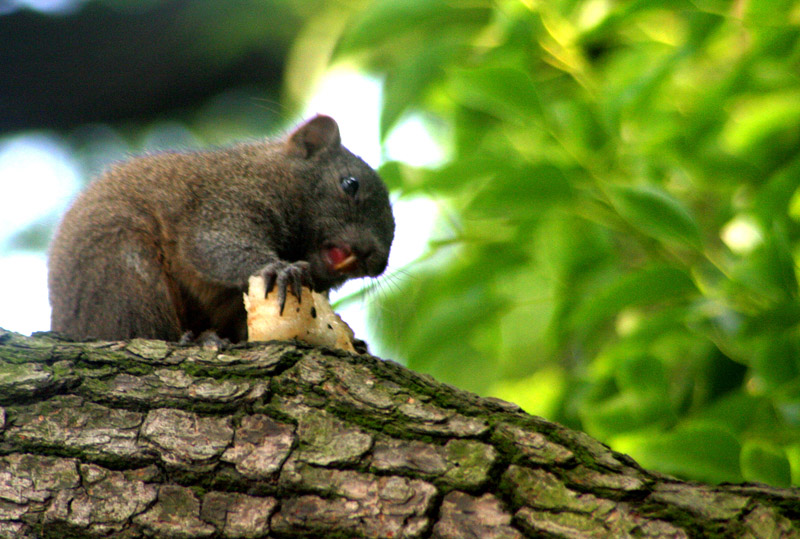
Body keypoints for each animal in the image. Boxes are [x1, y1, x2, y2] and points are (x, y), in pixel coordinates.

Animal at [47, 116, 394, 344]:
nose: (375, 258)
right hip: (121, 269)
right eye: (350, 184)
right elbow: (213, 245)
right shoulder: (227, 200)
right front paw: (279, 270)